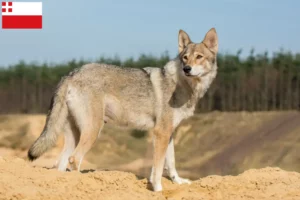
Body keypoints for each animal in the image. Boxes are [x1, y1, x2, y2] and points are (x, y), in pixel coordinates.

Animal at [27, 27, 218, 191]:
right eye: (185, 58)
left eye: (199, 57)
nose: (187, 69)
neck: (183, 85)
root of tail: (71, 74)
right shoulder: (160, 133)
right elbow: (157, 169)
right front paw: (157, 190)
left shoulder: (169, 134)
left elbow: (170, 164)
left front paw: (178, 182)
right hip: (93, 130)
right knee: (75, 159)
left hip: (74, 135)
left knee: (61, 163)